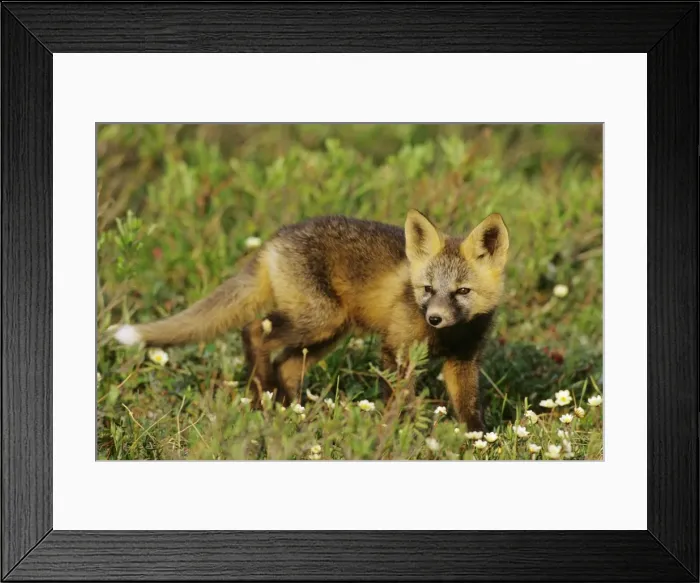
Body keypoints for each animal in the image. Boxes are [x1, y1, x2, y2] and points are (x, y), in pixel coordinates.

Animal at [112, 210, 509, 430]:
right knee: (253, 330)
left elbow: (470, 409)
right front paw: (403, 433)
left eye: (462, 291)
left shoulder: (464, 360)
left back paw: (292, 411)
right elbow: (398, 401)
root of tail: (276, 238)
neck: (448, 336)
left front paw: (475, 442)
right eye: (427, 289)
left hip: (327, 333)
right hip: (320, 320)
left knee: (285, 366)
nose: (435, 318)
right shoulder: (394, 348)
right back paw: (262, 397)